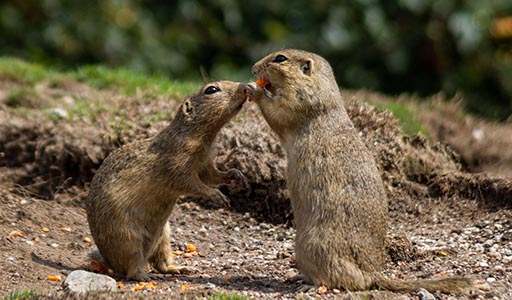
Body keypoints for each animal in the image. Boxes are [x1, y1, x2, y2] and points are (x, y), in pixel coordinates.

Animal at [86, 80, 250, 282]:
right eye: (211, 89)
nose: (246, 87)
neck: (201, 136)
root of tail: (110, 261)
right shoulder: (178, 165)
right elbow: (192, 183)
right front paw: (217, 196)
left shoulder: (205, 164)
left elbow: (213, 176)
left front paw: (236, 175)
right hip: (128, 239)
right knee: (131, 268)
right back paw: (143, 276)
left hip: (164, 236)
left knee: (160, 263)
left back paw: (179, 268)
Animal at [248, 49, 476, 292]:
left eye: (280, 58)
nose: (253, 68)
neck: (322, 89)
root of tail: (372, 273)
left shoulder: (297, 104)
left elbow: (276, 112)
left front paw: (254, 90)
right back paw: (298, 277)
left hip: (310, 245)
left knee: (335, 279)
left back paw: (309, 285)